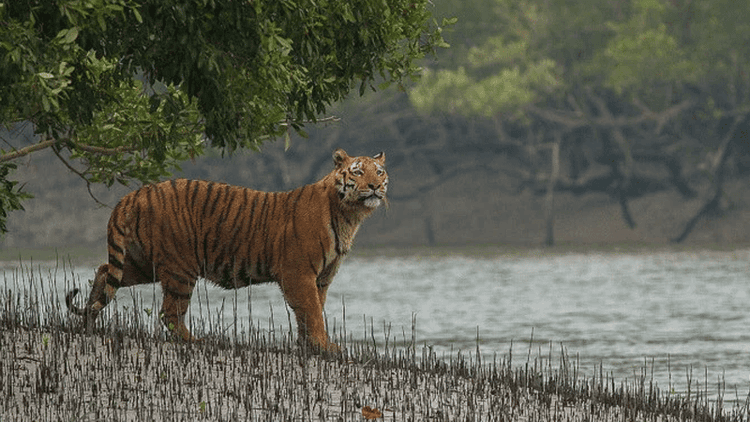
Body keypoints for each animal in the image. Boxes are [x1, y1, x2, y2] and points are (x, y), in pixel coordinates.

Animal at [66, 148, 388, 352]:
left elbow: (311, 311)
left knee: (104, 272)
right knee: (169, 313)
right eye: (358, 172)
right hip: (181, 267)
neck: (349, 215)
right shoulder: (299, 273)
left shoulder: (321, 277)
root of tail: (134, 194)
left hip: (144, 263)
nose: (374, 186)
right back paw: (195, 341)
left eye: (380, 172)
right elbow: (311, 311)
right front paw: (324, 346)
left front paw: (309, 345)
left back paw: (88, 322)